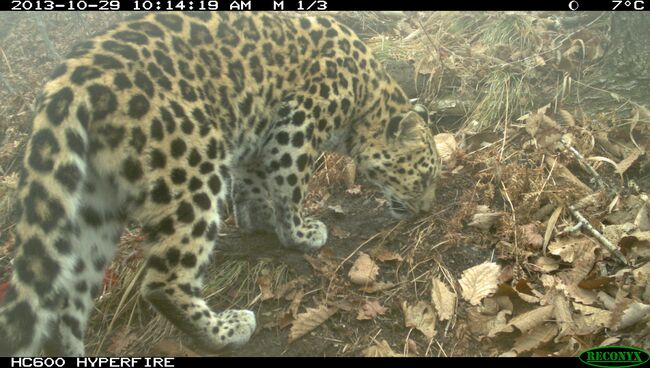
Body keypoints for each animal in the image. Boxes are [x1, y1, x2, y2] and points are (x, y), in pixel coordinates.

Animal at [0, 12, 440, 356]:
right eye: (424, 177)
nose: (427, 210)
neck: (368, 98)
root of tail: (69, 83)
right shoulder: (297, 123)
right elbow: (290, 185)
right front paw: (299, 233)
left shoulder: (258, 136)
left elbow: (255, 184)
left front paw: (259, 221)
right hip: (191, 168)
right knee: (162, 282)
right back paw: (227, 329)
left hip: (92, 206)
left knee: (64, 306)